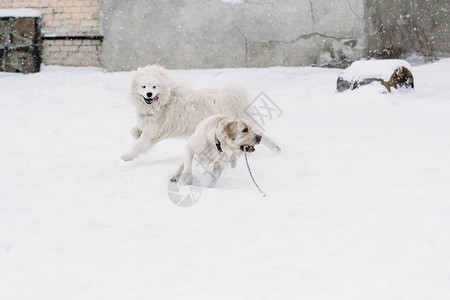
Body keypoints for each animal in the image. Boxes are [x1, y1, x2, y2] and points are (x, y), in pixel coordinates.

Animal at [121, 63, 280, 162]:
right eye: (143, 86)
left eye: (154, 86)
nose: (149, 94)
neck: (164, 102)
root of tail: (223, 97)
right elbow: (133, 131)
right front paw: (136, 133)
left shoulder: (152, 133)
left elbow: (139, 145)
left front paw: (126, 156)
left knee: (261, 135)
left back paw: (276, 149)